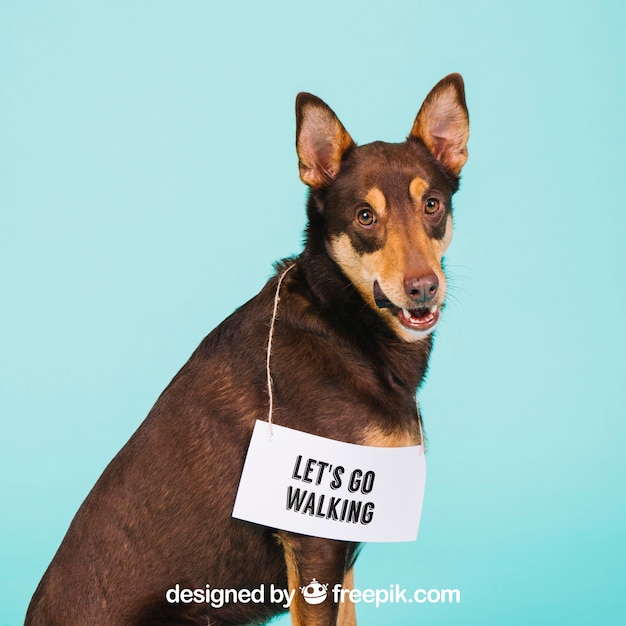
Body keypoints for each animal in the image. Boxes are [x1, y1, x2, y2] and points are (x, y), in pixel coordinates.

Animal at [25, 74, 468, 624]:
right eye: (365, 216)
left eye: (432, 205)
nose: (423, 288)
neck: (342, 320)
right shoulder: (315, 540)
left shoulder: (342, 548)